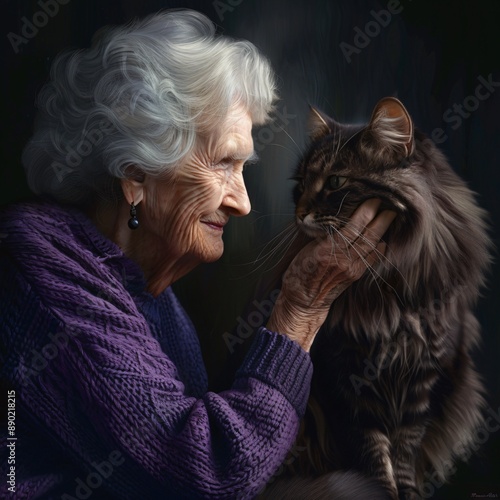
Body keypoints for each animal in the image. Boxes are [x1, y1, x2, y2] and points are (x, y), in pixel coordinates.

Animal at [262, 97, 492, 500]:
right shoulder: (345, 379)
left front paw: (407, 492)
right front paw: (380, 491)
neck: (387, 282)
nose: (300, 213)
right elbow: (373, 455)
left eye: (335, 182)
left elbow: (404, 453)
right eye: (301, 183)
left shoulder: (426, 378)